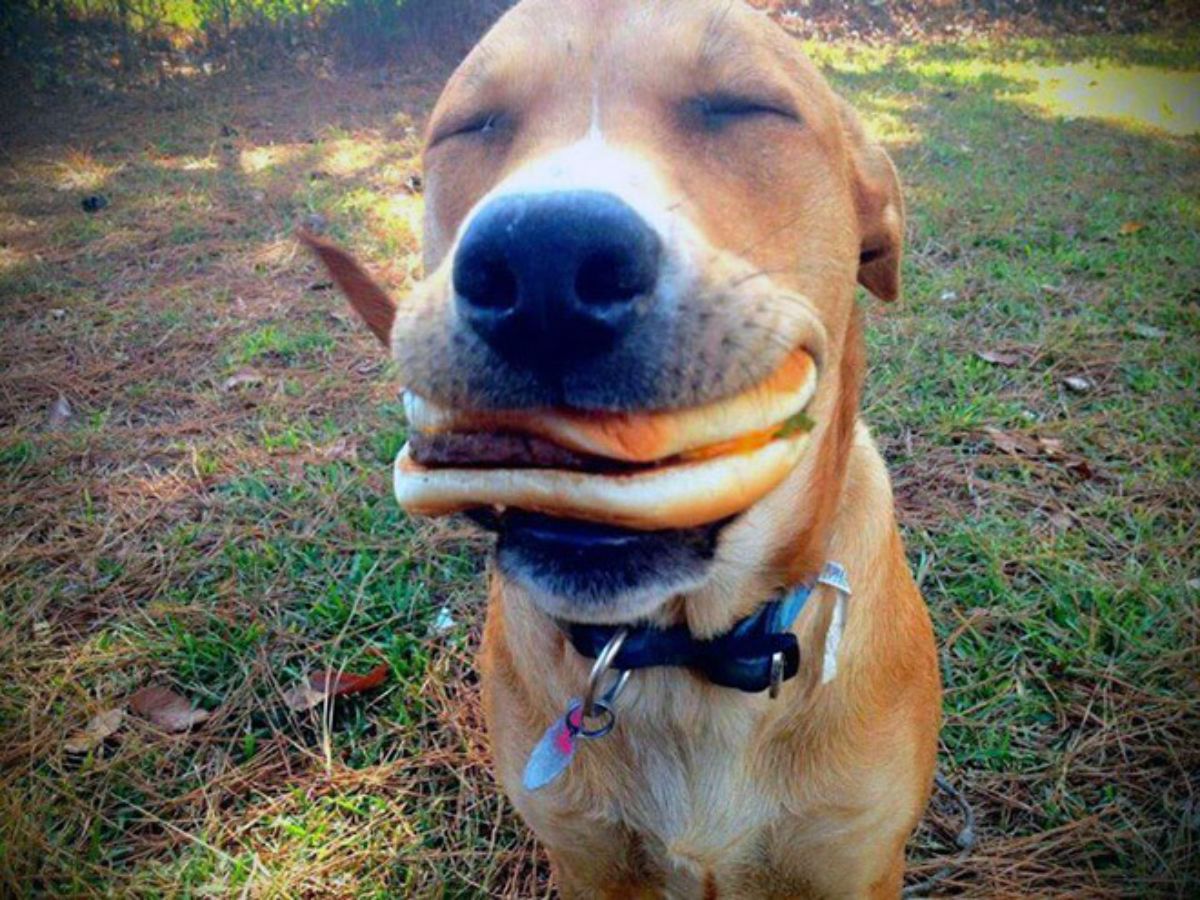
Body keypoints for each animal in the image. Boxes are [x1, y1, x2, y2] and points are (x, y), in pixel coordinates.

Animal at [304, 3, 940, 897]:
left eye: (745, 106)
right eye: (474, 124)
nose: (543, 261)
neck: (686, 659)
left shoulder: (857, 862)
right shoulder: (586, 862)